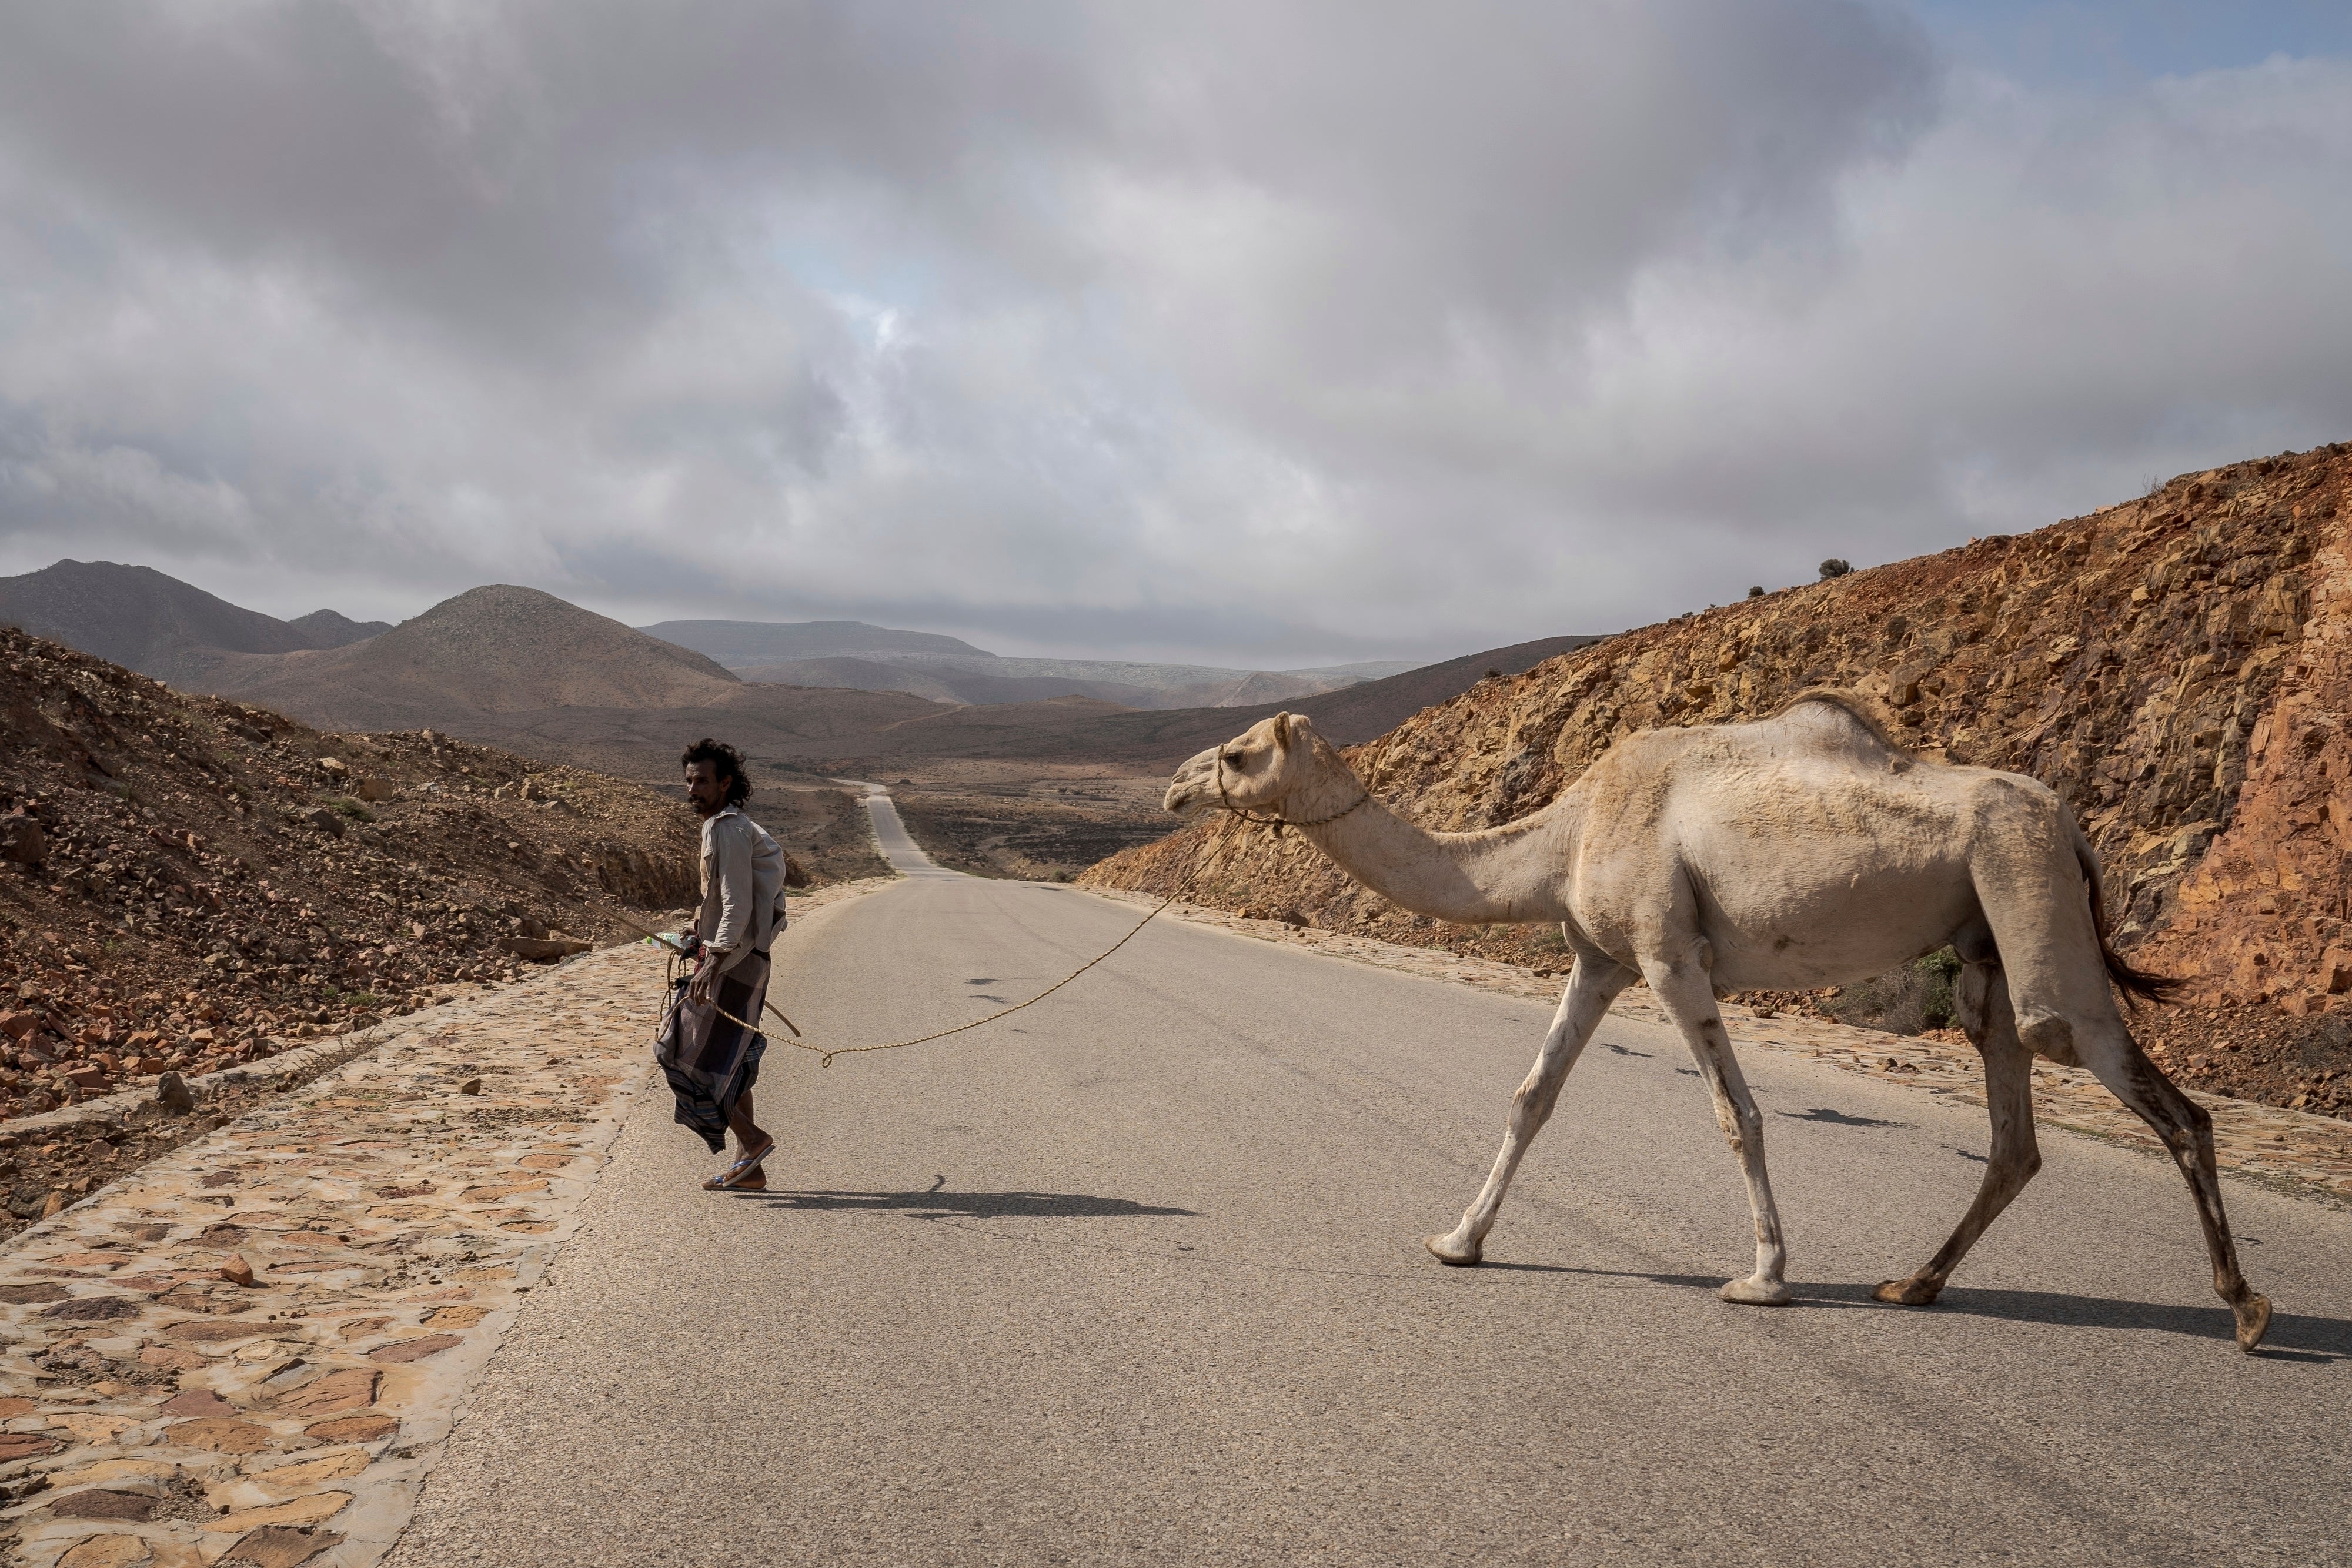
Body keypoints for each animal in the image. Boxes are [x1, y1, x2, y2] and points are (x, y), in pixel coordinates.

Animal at [1163, 692, 2273, 1352]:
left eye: (1239, 752)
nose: (1176, 784)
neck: (1566, 830)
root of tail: (2075, 826)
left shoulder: (1668, 953)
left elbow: (1736, 1115)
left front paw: (1765, 1277)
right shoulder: (1599, 957)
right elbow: (1532, 1095)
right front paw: (1458, 1239)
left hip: (2025, 875)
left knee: (2138, 1085)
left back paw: (2247, 1306)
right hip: (1986, 938)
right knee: (2013, 1131)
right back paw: (1912, 1285)